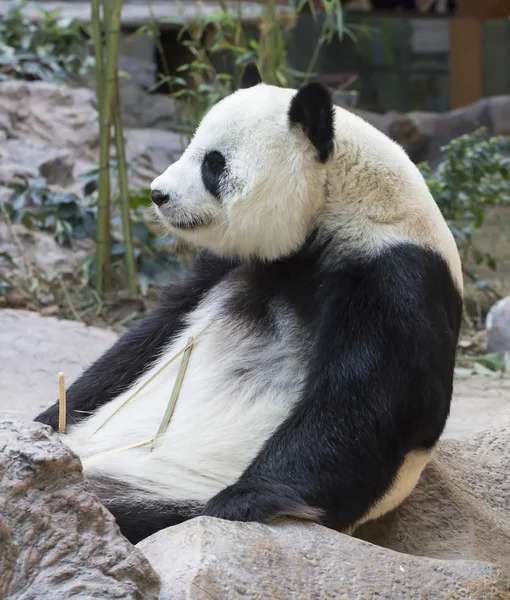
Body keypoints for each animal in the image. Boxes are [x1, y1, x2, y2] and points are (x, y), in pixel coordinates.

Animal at [34, 63, 462, 548]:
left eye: (213, 163)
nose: (158, 194)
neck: (336, 201)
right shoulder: (233, 263)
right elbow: (144, 340)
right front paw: (48, 420)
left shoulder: (395, 275)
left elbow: (367, 406)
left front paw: (240, 500)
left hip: (165, 485)